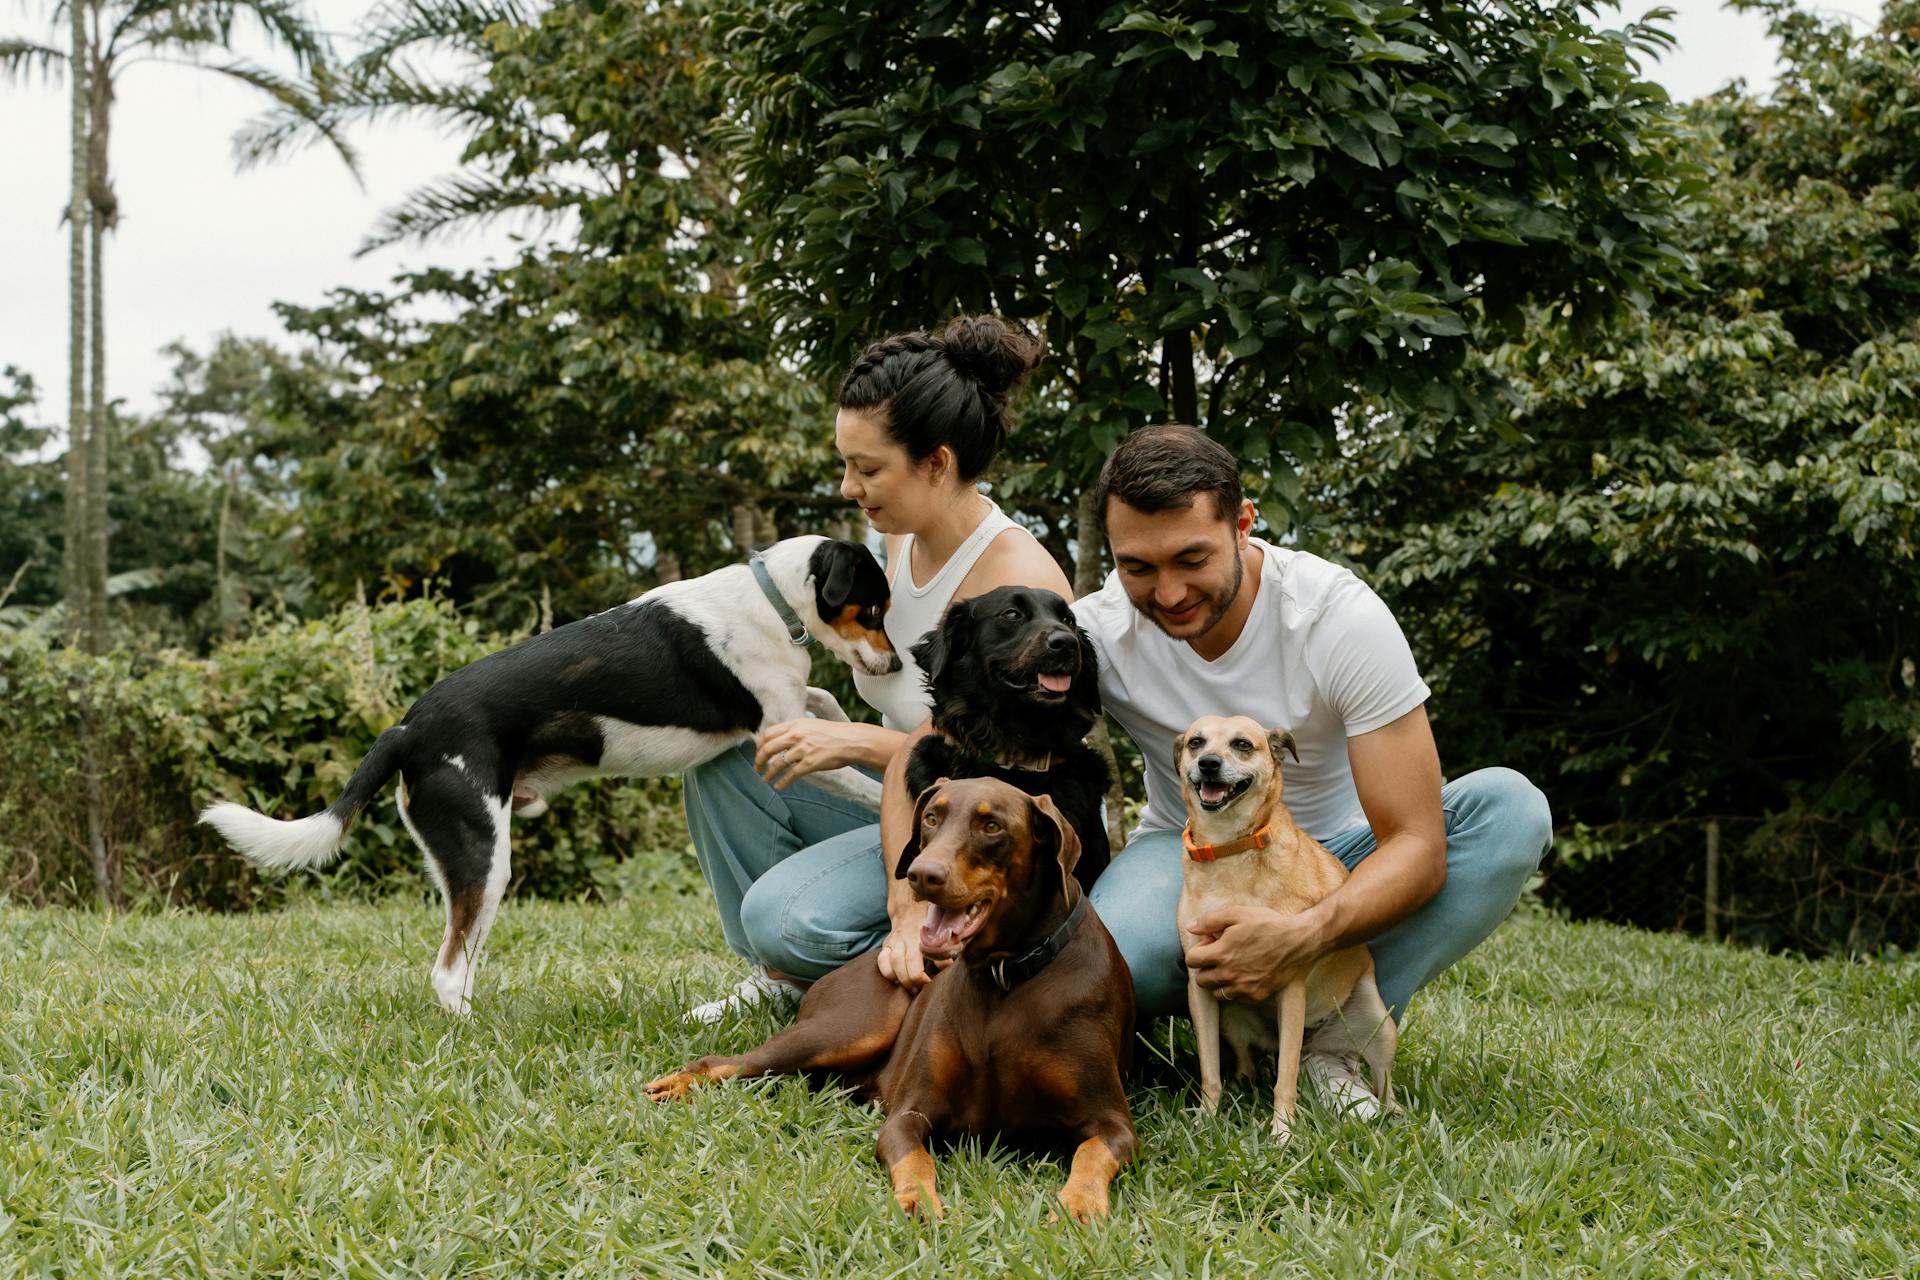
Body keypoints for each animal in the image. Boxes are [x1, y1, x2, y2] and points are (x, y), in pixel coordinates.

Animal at [198, 537, 902, 1013]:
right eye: (871, 610)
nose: (897, 667)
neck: (771, 599)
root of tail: (406, 729)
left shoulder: (794, 711)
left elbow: (827, 704)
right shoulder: (779, 734)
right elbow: (860, 776)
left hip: (471, 865)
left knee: (459, 962)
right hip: (485, 856)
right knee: (448, 972)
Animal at [645, 775, 1128, 1228]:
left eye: (992, 826)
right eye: (931, 817)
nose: (921, 874)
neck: (1005, 977)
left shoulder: (1112, 1121)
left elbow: (1091, 1154)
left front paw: (1079, 1206)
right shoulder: (909, 1113)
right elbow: (915, 1158)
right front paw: (917, 1200)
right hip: (848, 1030)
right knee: (722, 1061)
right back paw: (675, 1084)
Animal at [1167, 717, 1397, 1143]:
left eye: (1242, 744)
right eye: (1196, 742)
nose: (1208, 763)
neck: (1230, 849)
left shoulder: (1290, 986)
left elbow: (1286, 1079)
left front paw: (1283, 1131)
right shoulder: (1200, 988)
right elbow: (1209, 1072)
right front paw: (1206, 1120)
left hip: (1379, 1025)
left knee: (1381, 1081)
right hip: (1232, 1017)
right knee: (1245, 1065)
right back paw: (1240, 1087)